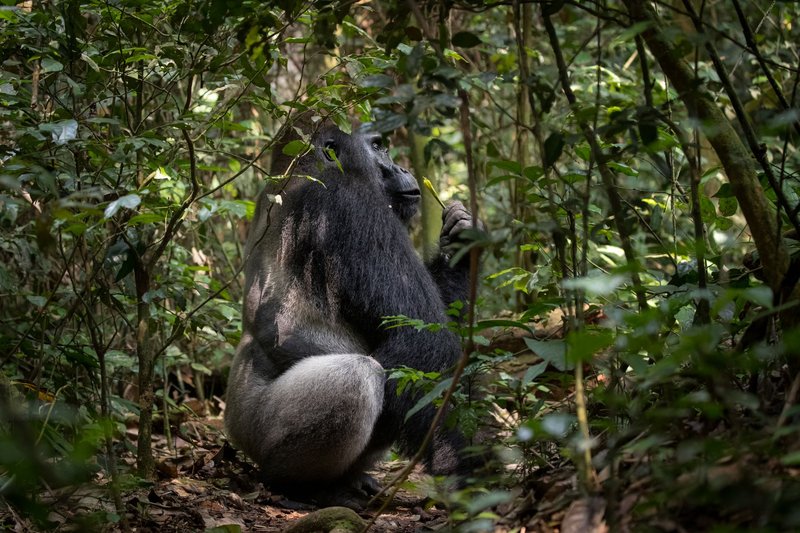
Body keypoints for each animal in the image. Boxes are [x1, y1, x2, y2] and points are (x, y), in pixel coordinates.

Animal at [222, 116, 478, 508]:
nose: (403, 168)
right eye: (378, 146)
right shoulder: (350, 202)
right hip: (251, 426)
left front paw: (459, 240)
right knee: (357, 376)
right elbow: (421, 339)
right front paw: (465, 469)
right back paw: (301, 486)